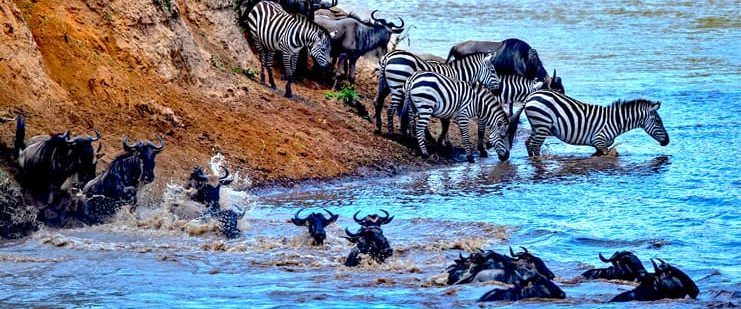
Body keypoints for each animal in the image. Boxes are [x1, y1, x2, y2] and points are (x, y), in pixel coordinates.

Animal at [372, 49, 500, 134]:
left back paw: (379, 126)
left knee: (378, 101)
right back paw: (391, 132)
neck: (458, 74)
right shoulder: (450, 97)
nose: (498, 90)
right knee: (390, 110)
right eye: (493, 71)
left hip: (384, 85)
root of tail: (387, 56)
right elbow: (445, 122)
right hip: (398, 87)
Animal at [512, 89, 668, 156]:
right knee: (535, 145)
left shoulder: (597, 145)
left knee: (528, 143)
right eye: (658, 121)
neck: (616, 122)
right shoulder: (599, 140)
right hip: (542, 125)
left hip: (536, 126)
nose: (667, 141)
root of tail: (531, 96)